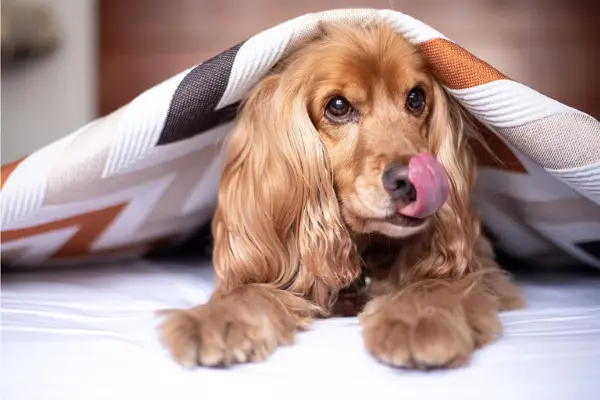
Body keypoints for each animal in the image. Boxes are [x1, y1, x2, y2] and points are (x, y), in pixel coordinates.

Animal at [161, 20, 524, 370]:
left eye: (416, 98)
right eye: (338, 106)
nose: (411, 181)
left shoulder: (484, 271)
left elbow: (438, 282)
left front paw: (419, 317)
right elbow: (249, 289)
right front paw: (214, 318)